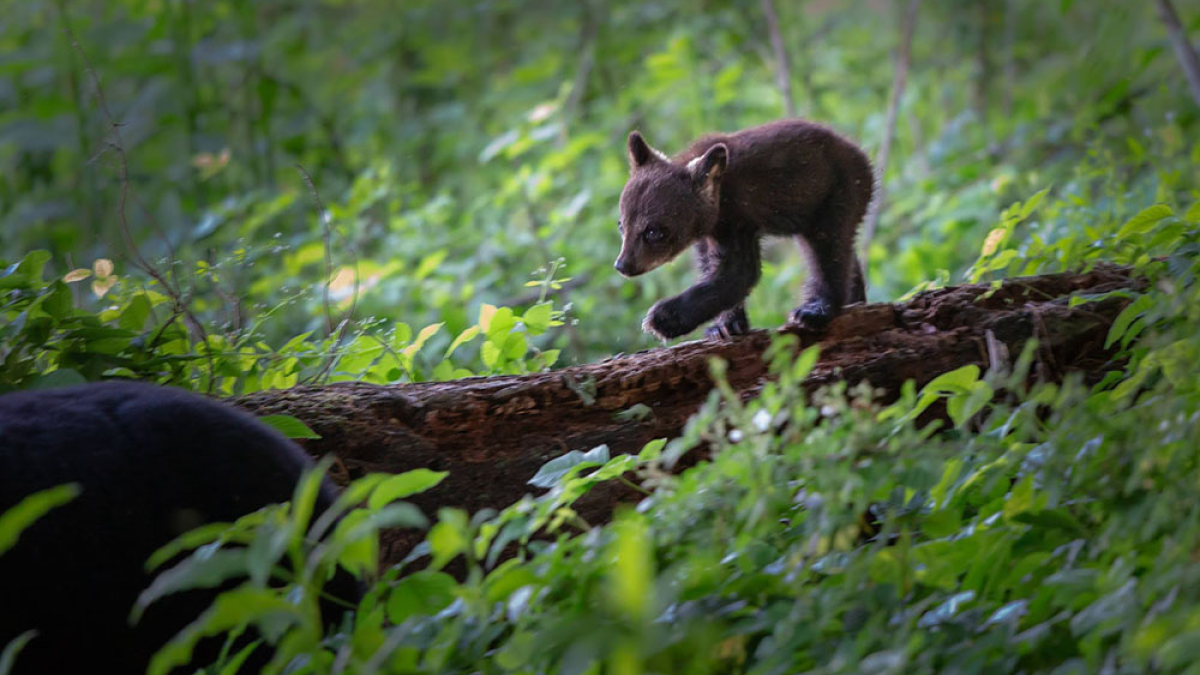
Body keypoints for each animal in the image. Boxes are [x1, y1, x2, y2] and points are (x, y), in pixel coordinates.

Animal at [614, 119, 875, 340]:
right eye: (621, 225)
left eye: (653, 231)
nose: (623, 265)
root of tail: (860, 154)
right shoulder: (708, 234)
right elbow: (712, 265)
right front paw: (725, 325)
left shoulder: (738, 217)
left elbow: (739, 271)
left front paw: (661, 318)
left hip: (837, 191)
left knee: (829, 248)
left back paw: (814, 311)